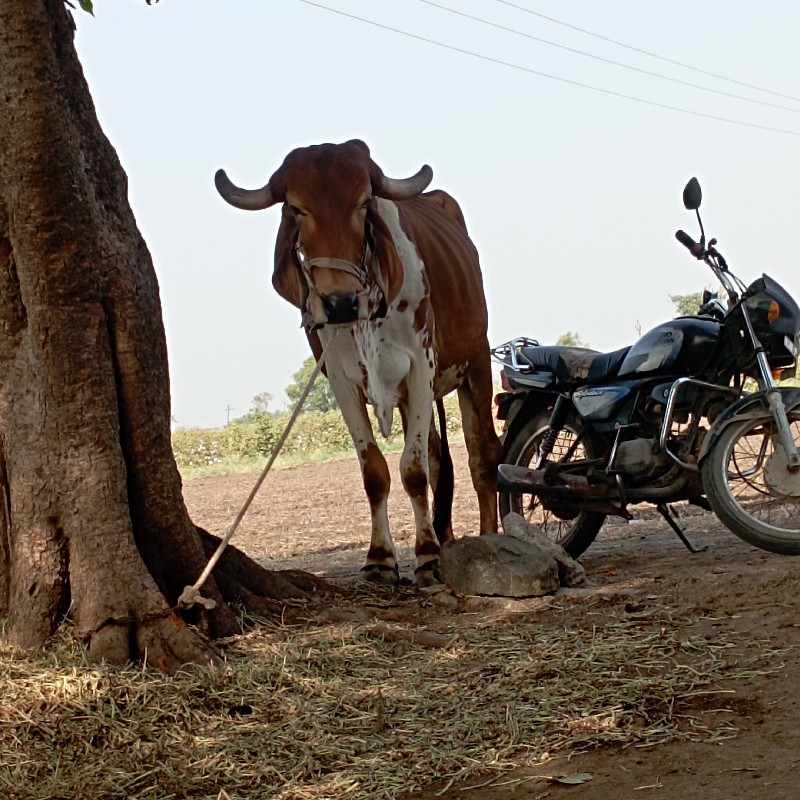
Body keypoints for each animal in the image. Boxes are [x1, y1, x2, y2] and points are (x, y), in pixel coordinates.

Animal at [216, 141, 496, 584]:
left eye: (365, 202)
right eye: (297, 208)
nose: (340, 301)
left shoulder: (421, 368)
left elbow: (413, 470)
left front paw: (427, 554)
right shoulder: (341, 382)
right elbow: (376, 472)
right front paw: (381, 558)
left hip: (477, 366)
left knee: (481, 455)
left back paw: (487, 540)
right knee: (439, 459)